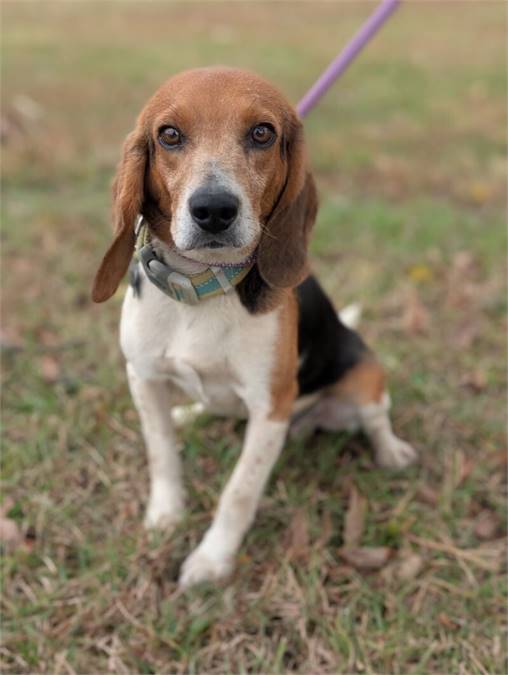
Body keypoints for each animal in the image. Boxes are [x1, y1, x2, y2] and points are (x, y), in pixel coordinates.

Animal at [91, 66, 416, 588]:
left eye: (262, 133)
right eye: (169, 135)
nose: (214, 209)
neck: (203, 290)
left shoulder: (270, 407)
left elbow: (239, 491)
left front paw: (211, 559)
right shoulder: (143, 378)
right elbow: (162, 454)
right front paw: (165, 516)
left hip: (365, 377)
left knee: (376, 417)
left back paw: (392, 453)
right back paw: (192, 413)